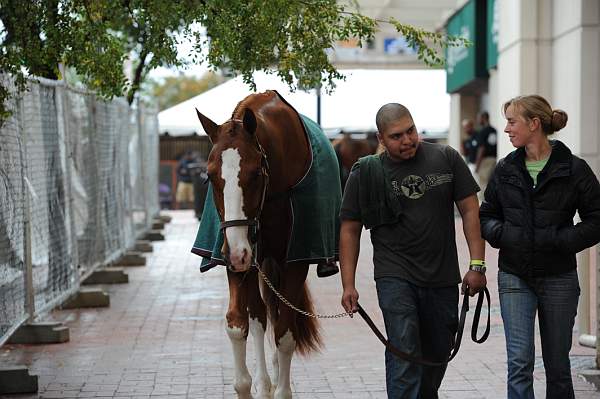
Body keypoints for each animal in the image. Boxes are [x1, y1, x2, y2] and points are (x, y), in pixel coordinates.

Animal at [193, 91, 340, 399]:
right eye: (209, 175)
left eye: (255, 174)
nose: (236, 253)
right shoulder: (238, 258)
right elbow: (238, 323)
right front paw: (248, 385)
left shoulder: (294, 262)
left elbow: (285, 333)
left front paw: (282, 389)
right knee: (260, 316)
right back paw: (263, 383)